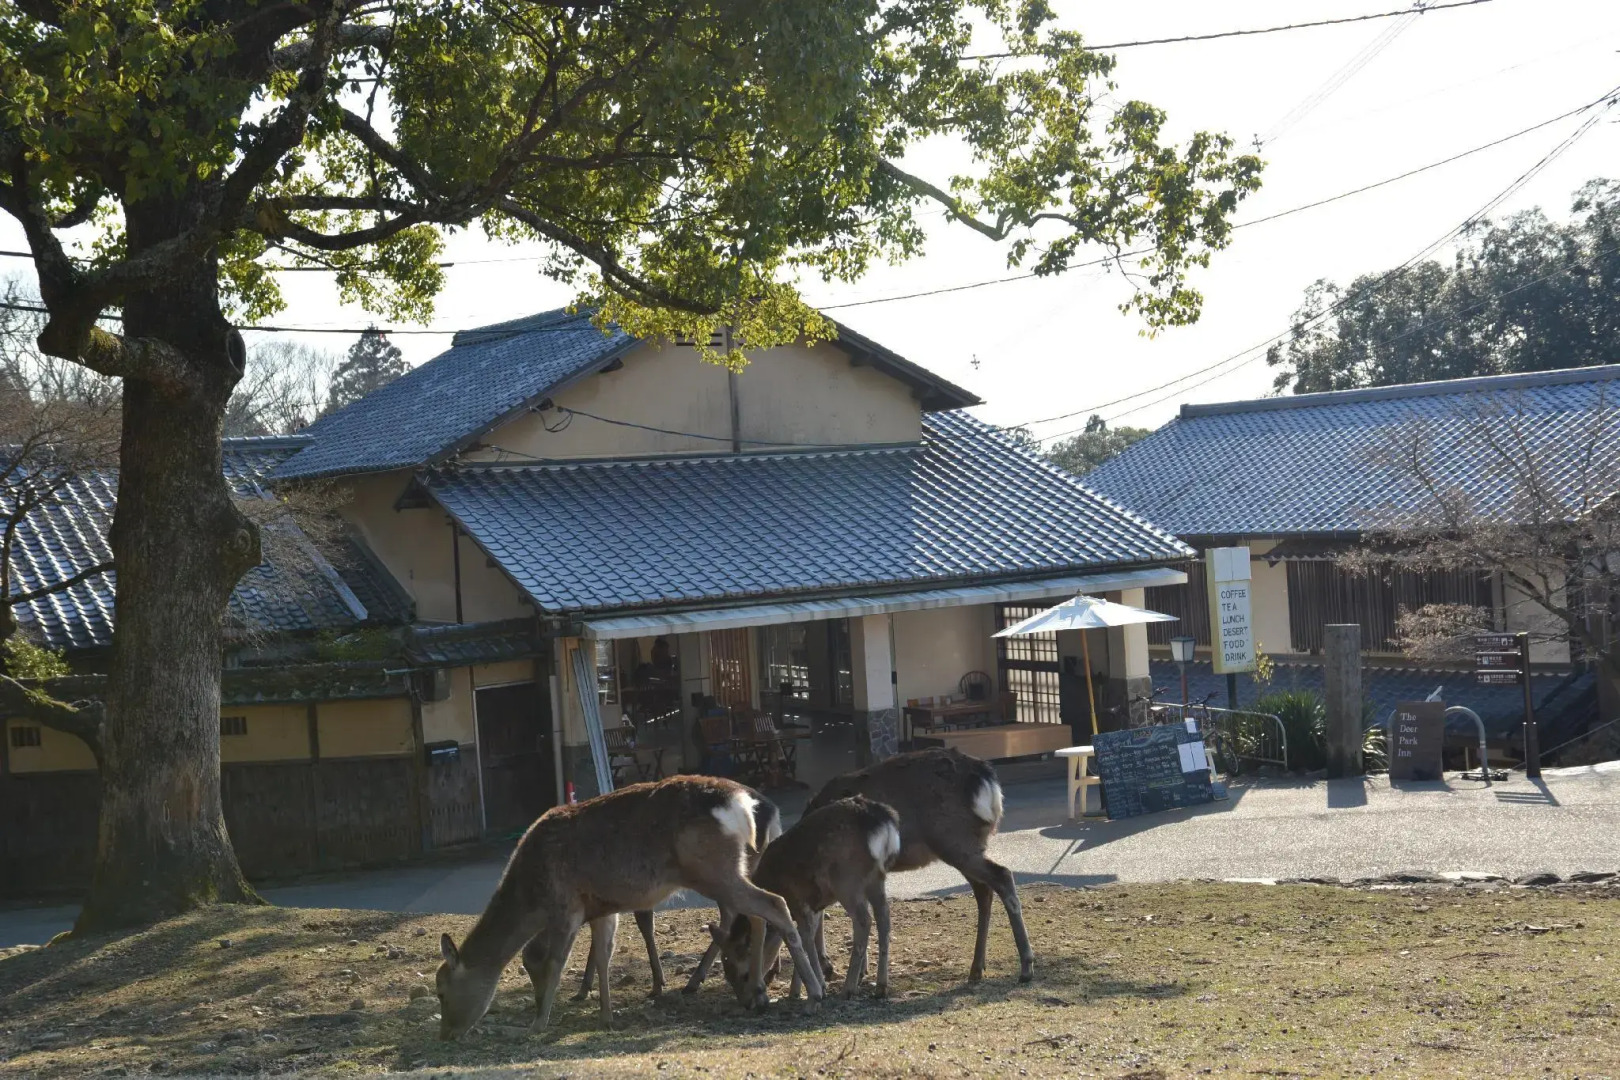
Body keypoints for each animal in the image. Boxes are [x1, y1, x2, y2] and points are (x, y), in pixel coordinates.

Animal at [569, 787, 782, 1001]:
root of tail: (773, 814)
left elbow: (644, 927)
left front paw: (657, 984)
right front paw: (584, 988)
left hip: (725, 872)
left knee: (738, 912)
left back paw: (696, 980)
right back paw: (770, 971)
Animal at [714, 794, 900, 1009]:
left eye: (744, 974)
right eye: (727, 975)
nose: (746, 1003)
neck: (771, 882)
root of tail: (883, 821)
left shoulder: (798, 901)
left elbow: (806, 939)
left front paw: (817, 990)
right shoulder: (813, 905)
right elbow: (806, 937)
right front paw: (797, 990)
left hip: (846, 879)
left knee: (864, 920)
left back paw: (848, 989)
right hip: (877, 878)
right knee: (884, 917)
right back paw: (881, 987)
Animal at [804, 746, 1033, 984]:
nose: (828, 969)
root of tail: (987, 780)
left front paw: (833, 966)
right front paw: (859, 970)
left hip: (954, 840)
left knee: (1003, 875)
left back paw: (1026, 966)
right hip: (966, 845)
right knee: (984, 890)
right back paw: (977, 968)